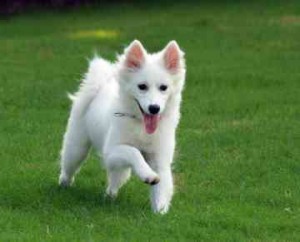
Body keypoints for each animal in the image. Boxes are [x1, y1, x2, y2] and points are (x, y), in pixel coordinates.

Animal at [58, 40, 185, 214]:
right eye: (142, 86)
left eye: (163, 87)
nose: (154, 108)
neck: (141, 125)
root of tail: (102, 85)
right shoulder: (111, 151)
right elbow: (134, 152)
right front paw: (147, 174)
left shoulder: (160, 159)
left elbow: (162, 187)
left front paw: (160, 212)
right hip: (77, 148)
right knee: (69, 166)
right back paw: (64, 184)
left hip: (116, 167)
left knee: (115, 178)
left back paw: (109, 196)